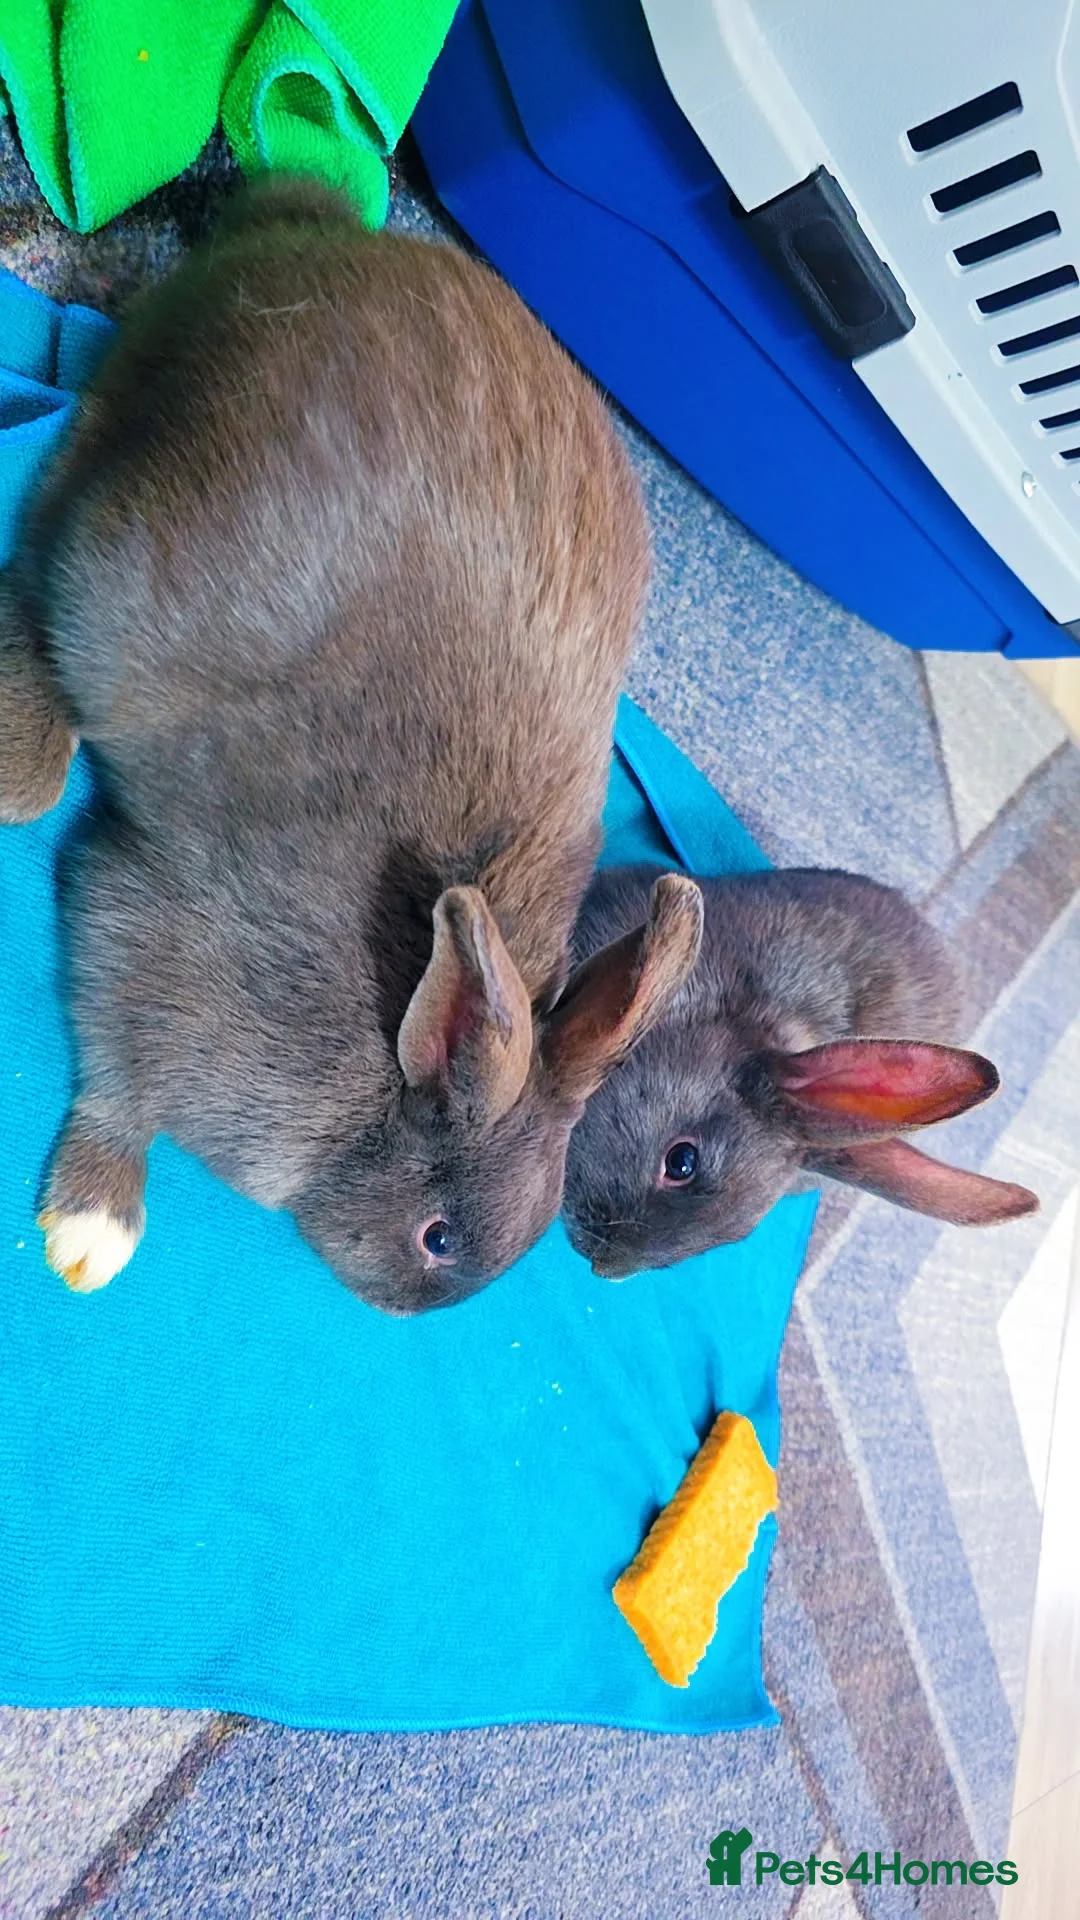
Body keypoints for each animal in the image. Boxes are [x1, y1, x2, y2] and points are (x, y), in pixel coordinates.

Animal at [0, 176, 705, 1315]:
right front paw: (89, 1232)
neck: (395, 1063)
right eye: (437, 1238)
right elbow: (120, 1090)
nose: (395, 1306)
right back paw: (23, 756)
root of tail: (303, 233)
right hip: (118, 542)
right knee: (44, 527)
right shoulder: (146, 953)